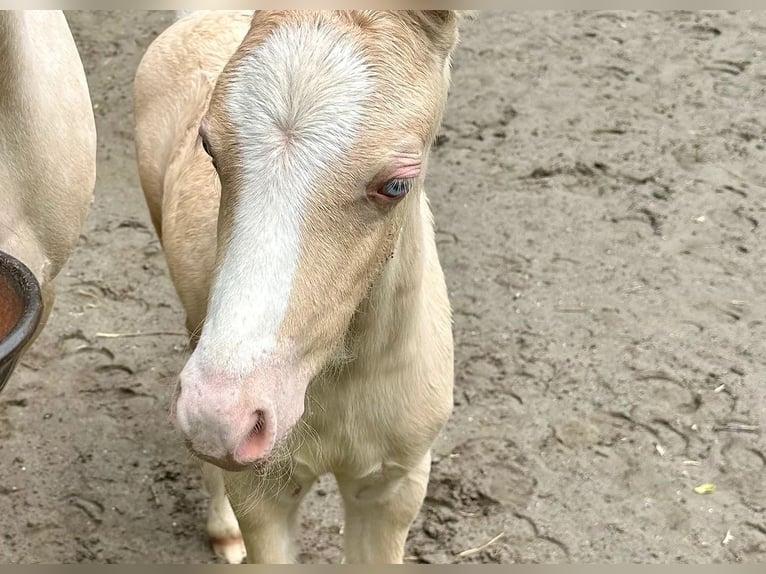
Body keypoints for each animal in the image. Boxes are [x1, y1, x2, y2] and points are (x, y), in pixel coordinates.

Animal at [134, 10, 468, 568]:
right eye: (209, 149)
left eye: (397, 185)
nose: (218, 418)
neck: (339, 379)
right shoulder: (263, 494)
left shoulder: (392, 487)